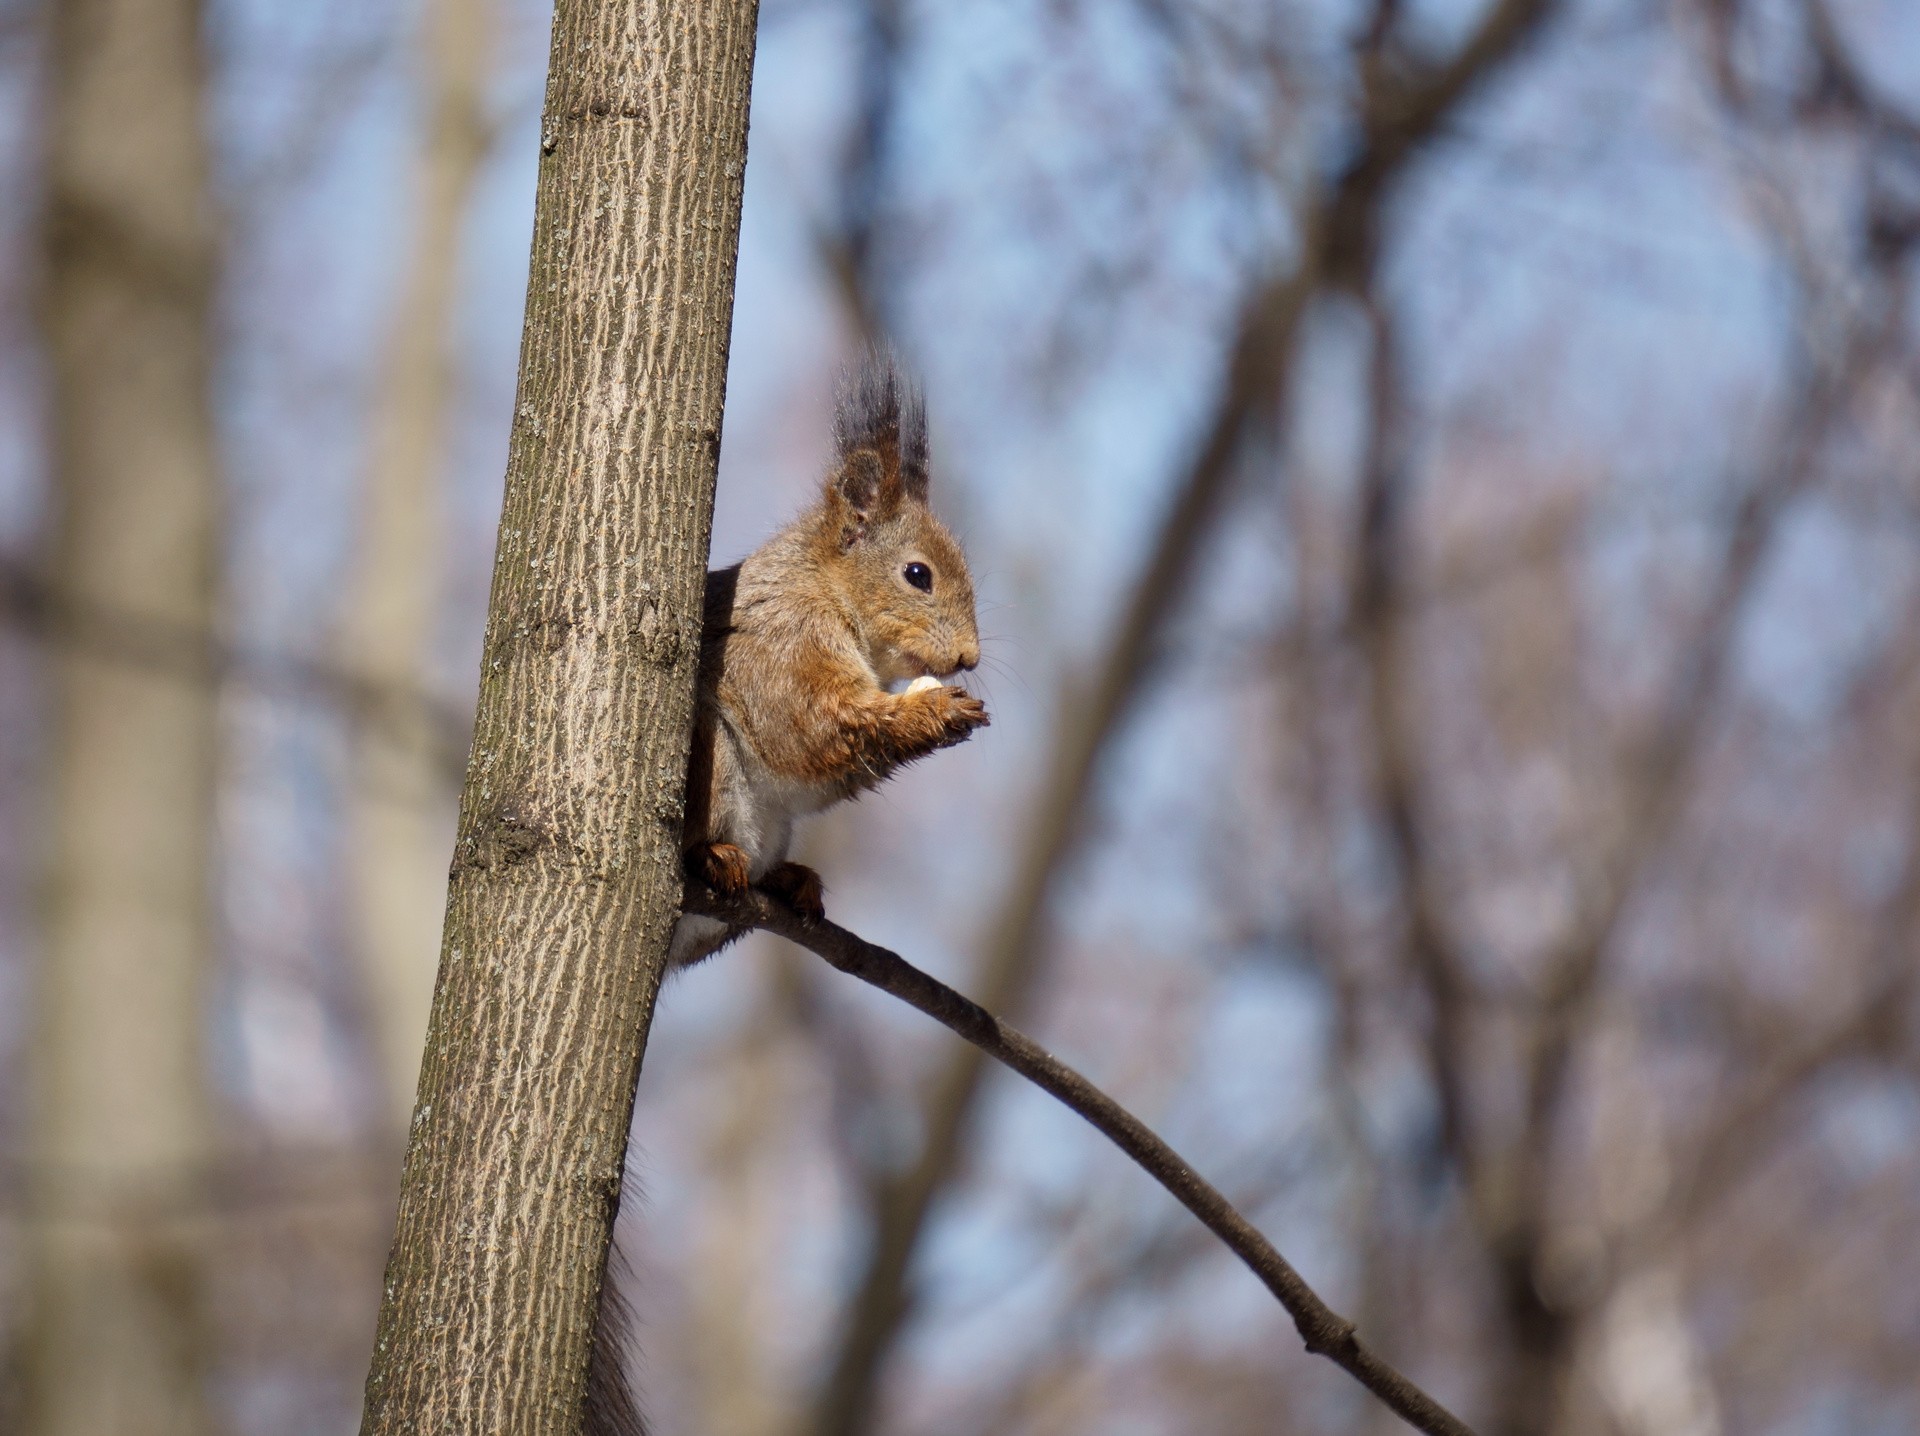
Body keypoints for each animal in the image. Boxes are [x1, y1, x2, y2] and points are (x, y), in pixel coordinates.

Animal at [587, 351, 990, 1436]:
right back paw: (717, 865)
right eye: (918, 573)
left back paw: (788, 882)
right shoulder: (778, 646)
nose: (971, 660)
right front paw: (931, 714)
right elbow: (812, 724)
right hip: (703, 771)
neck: (823, 588)